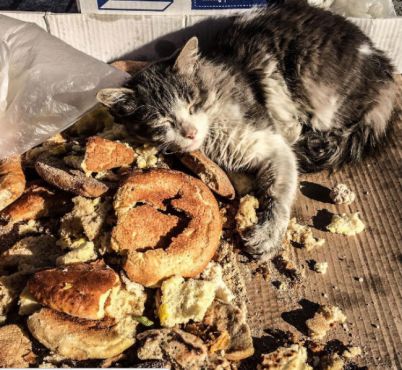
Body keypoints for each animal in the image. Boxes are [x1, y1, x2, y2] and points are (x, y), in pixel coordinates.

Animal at [96, 0, 396, 258]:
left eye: (193, 104)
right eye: (162, 121)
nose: (190, 132)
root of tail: (384, 68)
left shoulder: (272, 144)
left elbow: (278, 191)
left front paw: (267, 234)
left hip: (320, 97)